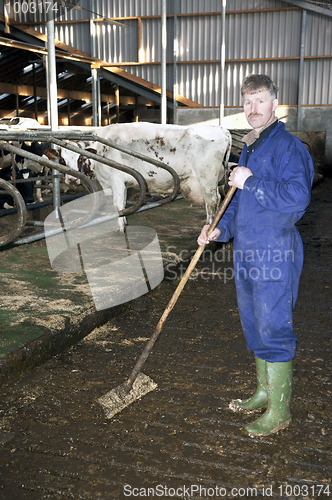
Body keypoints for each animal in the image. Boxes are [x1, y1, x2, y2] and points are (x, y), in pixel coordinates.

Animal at [57, 122, 232, 231]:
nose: (71, 179)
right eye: (62, 160)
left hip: (207, 178)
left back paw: (208, 226)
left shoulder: (117, 180)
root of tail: (220, 129)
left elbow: (117, 205)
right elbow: (123, 205)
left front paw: (120, 228)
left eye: (80, 158)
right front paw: (125, 223)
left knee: (212, 201)